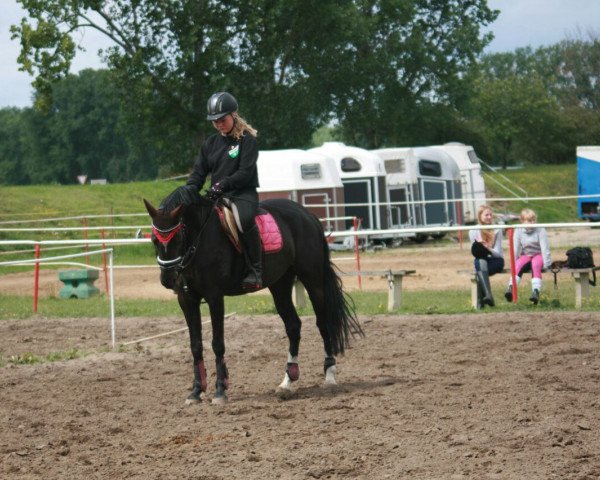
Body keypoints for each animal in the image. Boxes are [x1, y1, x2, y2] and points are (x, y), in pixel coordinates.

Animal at [143, 188, 364, 404]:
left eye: (178, 238)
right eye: (154, 240)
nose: (168, 279)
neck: (199, 239)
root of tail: (307, 214)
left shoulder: (215, 297)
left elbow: (217, 343)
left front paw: (220, 391)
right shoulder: (186, 300)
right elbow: (195, 345)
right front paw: (196, 391)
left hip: (313, 280)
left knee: (323, 323)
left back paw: (329, 376)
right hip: (280, 284)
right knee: (293, 326)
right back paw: (286, 382)